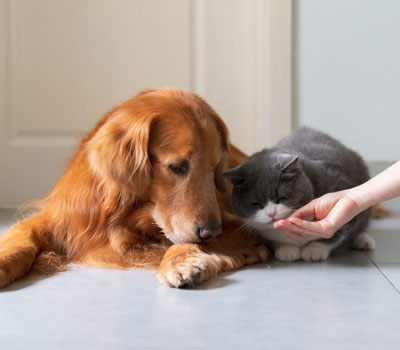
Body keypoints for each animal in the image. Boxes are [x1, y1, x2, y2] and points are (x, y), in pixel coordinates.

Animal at [0, 87, 270, 288]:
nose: (211, 230)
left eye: (214, 168)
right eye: (177, 166)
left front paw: (181, 261)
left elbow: (180, 241)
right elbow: (22, 240)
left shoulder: (241, 224)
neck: (122, 213)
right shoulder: (57, 218)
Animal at [223, 127, 374, 262]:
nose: (271, 213)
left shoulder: (344, 190)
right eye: (256, 203)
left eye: (281, 197)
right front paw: (287, 250)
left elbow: (336, 235)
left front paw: (314, 250)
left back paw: (364, 241)